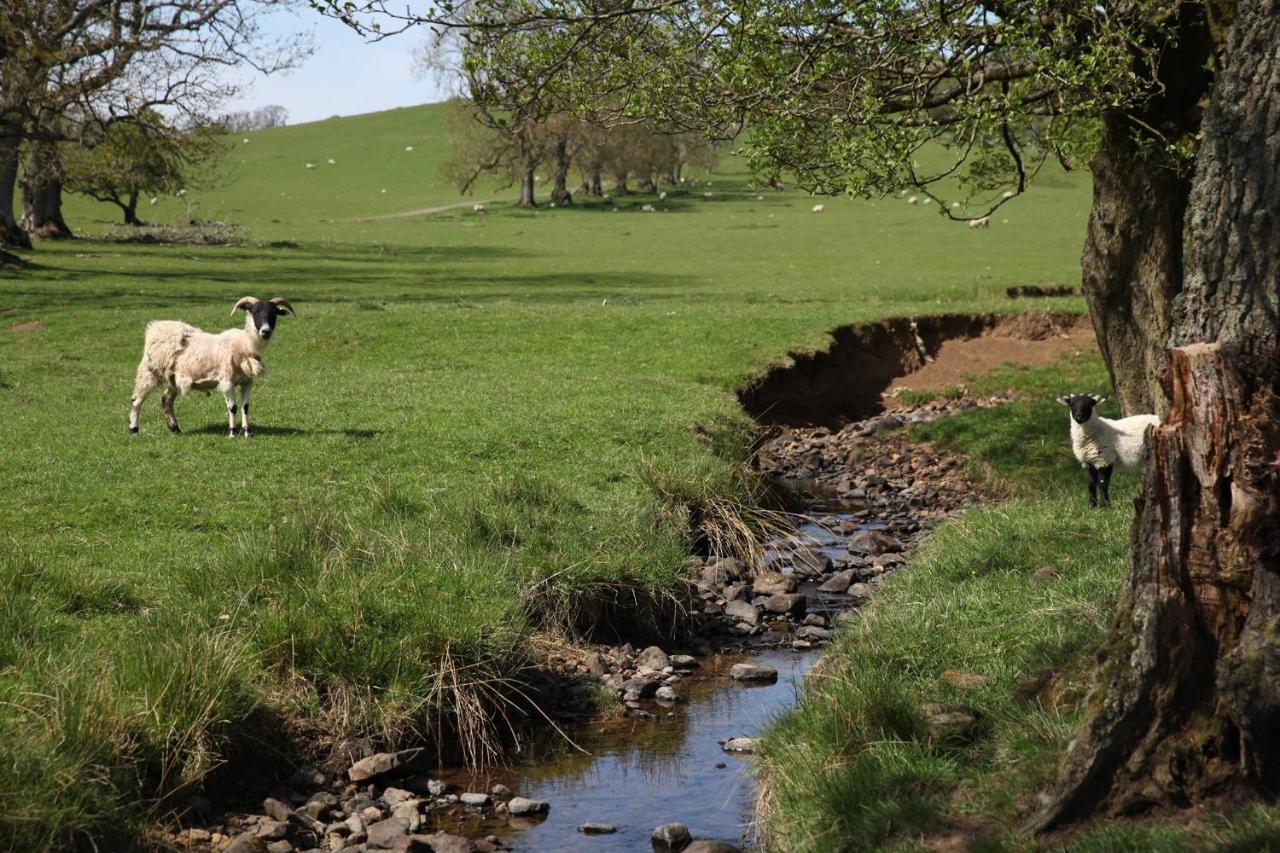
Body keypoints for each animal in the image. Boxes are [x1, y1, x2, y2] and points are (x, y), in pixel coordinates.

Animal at [131, 294, 298, 438]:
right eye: (255, 312)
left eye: (274, 314)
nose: (265, 331)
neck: (244, 344)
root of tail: (155, 328)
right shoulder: (227, 380)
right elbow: (233, 407)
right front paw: (232, 433)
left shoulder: (246, 382)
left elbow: (245, 407)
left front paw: (247, 433)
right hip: (149, 372)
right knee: (137, 399)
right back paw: (133, 429)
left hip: (173, 378)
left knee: (166, 400)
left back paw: (175, 429)